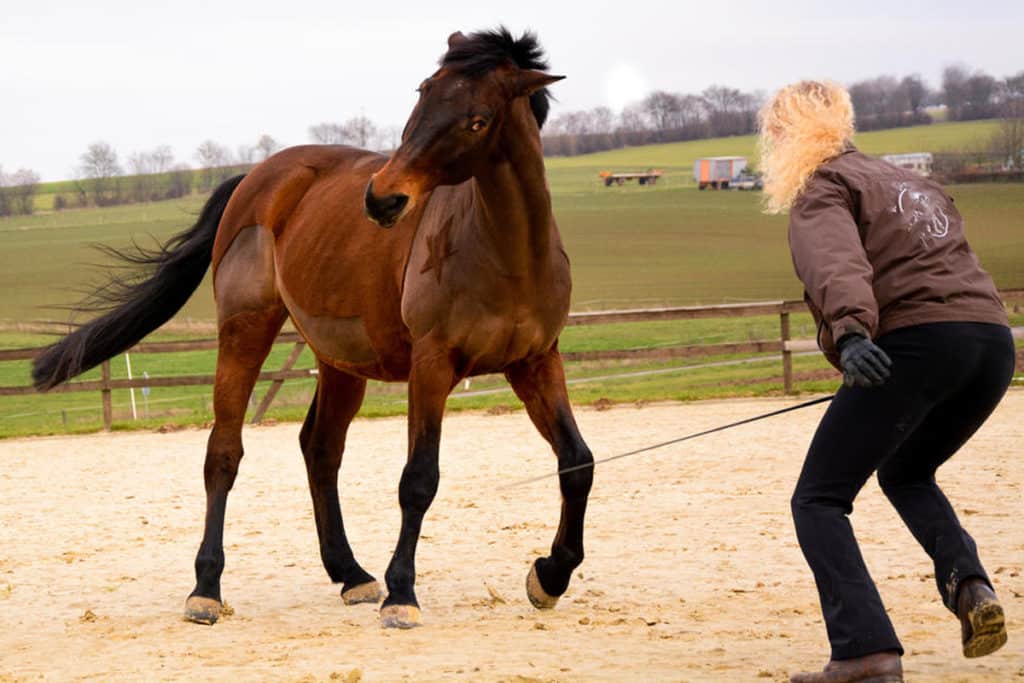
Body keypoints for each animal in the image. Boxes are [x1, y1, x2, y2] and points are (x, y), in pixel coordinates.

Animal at [32, 27, 595, 629]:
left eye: (478, 120)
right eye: (423, 92)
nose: (383, 197)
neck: (507, 254)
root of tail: (258, 177)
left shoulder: (536, 362)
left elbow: (577, 462)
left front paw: (549, 575)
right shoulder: (432, 365)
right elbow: (419, 478)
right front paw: (403, 595)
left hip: (341, 363)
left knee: (320, 449)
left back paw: (351, 574)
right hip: (245, 334)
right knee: (223, 453)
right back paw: (206, 588)